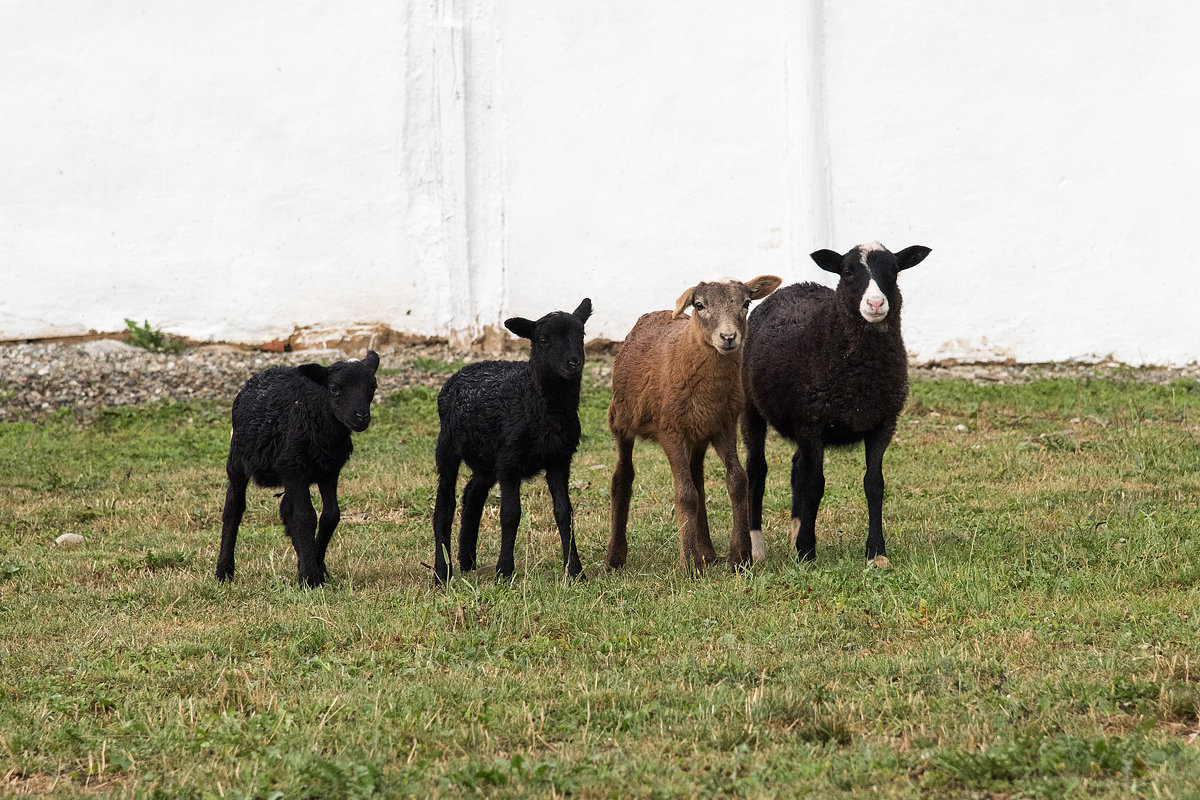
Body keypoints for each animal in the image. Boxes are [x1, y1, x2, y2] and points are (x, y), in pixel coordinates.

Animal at [216, 350, 379, 587]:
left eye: (373, 388)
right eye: (334, 388)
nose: (361, 417)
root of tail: (262, 373)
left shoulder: (329, 470)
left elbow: (331, 515)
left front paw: (315, 565)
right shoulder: (295, 467)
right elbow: (305, 517)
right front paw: (311, 577)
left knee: (287, 509)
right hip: (238, 460)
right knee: (233, 508)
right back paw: (224, 571)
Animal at [604, 278, 782, 573]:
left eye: (746, 303)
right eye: (699, 305)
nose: (728, 337)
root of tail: (652, 314)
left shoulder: (723, 424)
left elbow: (737, 481)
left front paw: (740, 557)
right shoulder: (670, 431)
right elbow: (686, 495)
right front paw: (687, 563)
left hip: (698, 432)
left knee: (697, 476)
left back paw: (707, 553)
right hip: (622, 419)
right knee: (623, 477)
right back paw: (615, 557)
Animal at [734, 241, 931, 566]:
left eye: (894, 270)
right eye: (848, 271)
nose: (875, 304)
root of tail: (796, 285)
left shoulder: (883, 423)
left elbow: (874, 484)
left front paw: (877, 553)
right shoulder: (812, 424)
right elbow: (815, 485)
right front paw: (807, 551)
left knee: (797, 466)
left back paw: (794, 534)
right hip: (751, 406)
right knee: (757, 470)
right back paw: (758, 547)